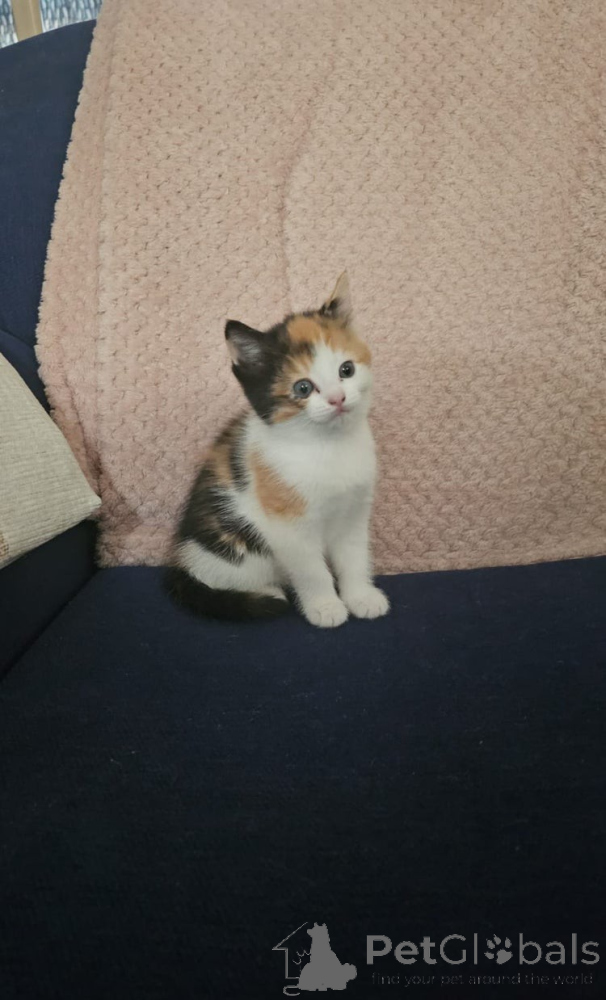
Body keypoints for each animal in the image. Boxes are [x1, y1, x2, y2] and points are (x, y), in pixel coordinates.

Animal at [166, 273, 389, 628]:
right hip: (235, 547)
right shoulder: (288, 525)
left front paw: (361, 597)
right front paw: (325, 607)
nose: (338, 398)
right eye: (303, 387)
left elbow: (354, 556)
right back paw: (266, 593)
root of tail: (181, 562)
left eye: (346, 370)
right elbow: (312, 570)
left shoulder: (354, 510)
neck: (328, 446)